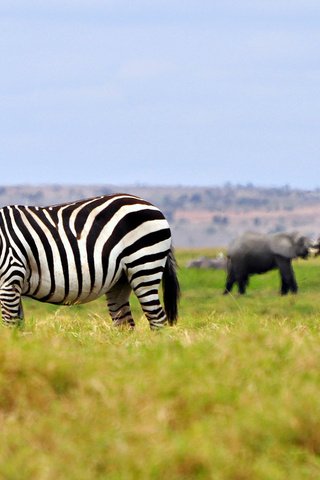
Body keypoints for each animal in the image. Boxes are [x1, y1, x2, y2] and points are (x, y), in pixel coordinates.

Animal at [0, 193, 180, 328]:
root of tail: (150, 204)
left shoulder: (9, 279)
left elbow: (9, 326)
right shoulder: (14, 284)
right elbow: (18, 327)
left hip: (144, 267)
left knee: (157, 319)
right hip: (121, 279)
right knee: (124, 323)